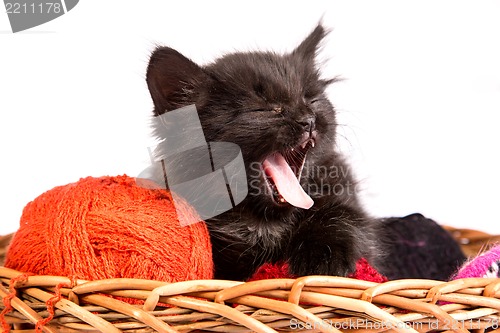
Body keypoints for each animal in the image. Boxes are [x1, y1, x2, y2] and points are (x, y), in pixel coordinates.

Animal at [146, 24, 380, 280]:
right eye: (265, 109)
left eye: (311, 100)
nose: (308, 120)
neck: (264, 223)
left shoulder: (344, 194)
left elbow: (340, 217)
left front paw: (322, 261)